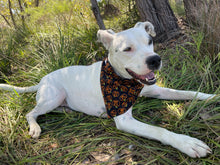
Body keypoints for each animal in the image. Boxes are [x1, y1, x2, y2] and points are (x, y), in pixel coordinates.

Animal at [0, 21, 217, 157]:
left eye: (149, 41)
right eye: (127, 49)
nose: (155, 60)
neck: (125, 80)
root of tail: (42, 79)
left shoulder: (155, 90)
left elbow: (187, 93)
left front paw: (212, 96)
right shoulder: (124, 119)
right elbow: (158, 130)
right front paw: (187, 143)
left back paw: (68, 111)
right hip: (52, 95)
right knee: (31, 113)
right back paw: (35, 127)